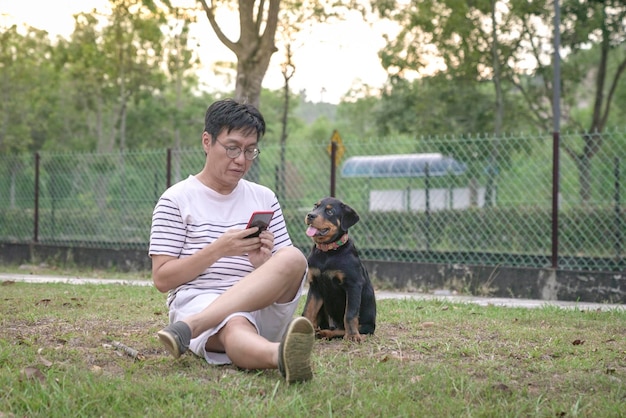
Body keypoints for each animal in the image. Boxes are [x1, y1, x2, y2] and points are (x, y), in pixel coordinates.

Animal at [302, 198, 376, 342]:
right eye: (315, 207)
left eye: (330, 211)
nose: (310, 215)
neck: (327, 253)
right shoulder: (315, 286)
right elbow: (308, 310)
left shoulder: (353, 285)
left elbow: (350, 314)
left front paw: (352, 336)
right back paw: (318, 331)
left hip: (367, 326)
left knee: (343, 329)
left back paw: (326, 333)